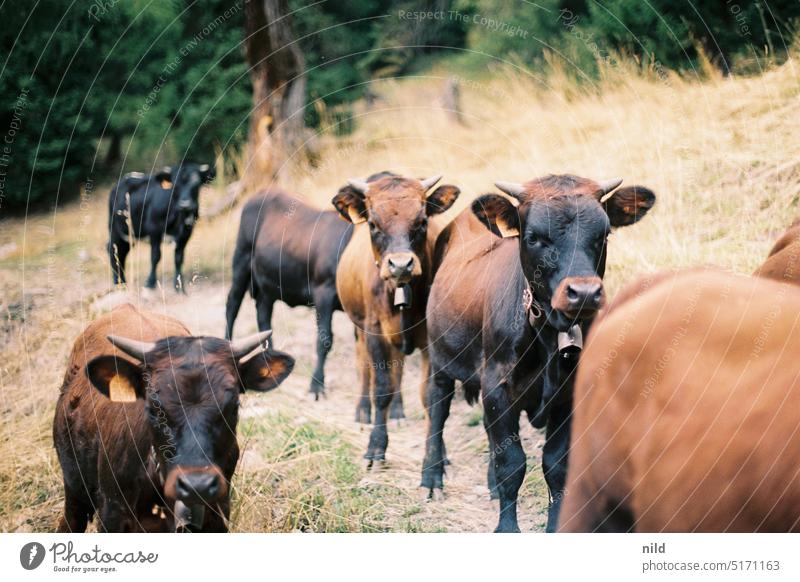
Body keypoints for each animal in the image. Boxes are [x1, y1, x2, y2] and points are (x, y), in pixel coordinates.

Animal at [54, 306, 296, 532]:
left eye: (234, 406)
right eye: (153, 408)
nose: (197, 485)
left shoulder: (218, 515)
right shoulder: (112, 514)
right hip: (74, 489)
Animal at [332, 171, 460, 464]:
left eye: (422, 221)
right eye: (373, 224)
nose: (401, 265)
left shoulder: (431, 340)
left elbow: (431, 396)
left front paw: (438, 452)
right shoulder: (375, 332)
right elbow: (381, 388)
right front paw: (376, 447)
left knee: (398, 369)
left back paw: (398, 412)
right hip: (360, 329)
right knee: (364, 366)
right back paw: (362, 411)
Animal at [422, 175, 652, 532]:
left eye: (604, 235)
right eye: (533, 238)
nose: (584, 292)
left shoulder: (568, 394)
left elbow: (555, 464)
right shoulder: (497, 385)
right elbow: (511, 463)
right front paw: (506, 527)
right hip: (439, 359)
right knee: (437, 409)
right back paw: (432, 477)